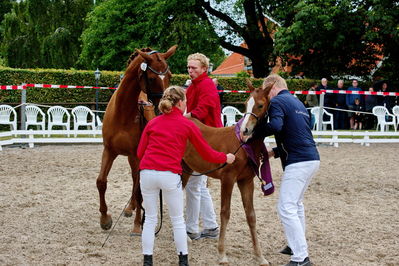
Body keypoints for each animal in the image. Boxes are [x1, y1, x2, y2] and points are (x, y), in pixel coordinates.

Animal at [96, 45, 177, 233]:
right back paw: (130, 207)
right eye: (152, 78)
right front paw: (105, 219)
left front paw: (138, 225)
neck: (122, 112)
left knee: (137, 182)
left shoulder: (136, 155)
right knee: (134, 180)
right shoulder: (109, 151)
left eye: (169, 76)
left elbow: (139, 188)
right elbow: (101, 182)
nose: (165, 106)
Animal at [182, 79, 272, 266]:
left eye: (260, 105)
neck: (242, 146)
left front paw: (260, 256)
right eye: (246, 104)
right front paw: (222, 253)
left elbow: (251, 215)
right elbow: (225, 212)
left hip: (187, 169)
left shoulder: (246, 181)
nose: (245, 130)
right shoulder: (228, 179)